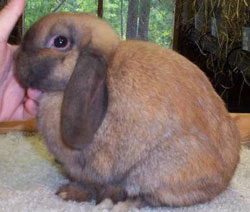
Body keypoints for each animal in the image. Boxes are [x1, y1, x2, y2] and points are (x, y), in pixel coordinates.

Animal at [13, 12, 240, 208]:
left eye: (60, 42)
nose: (17, 60)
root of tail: (224, 179)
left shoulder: (95, 168)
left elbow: (91, 184)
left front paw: (68, 193)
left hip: (155, 170)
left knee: (148, 197)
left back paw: (118, 203)